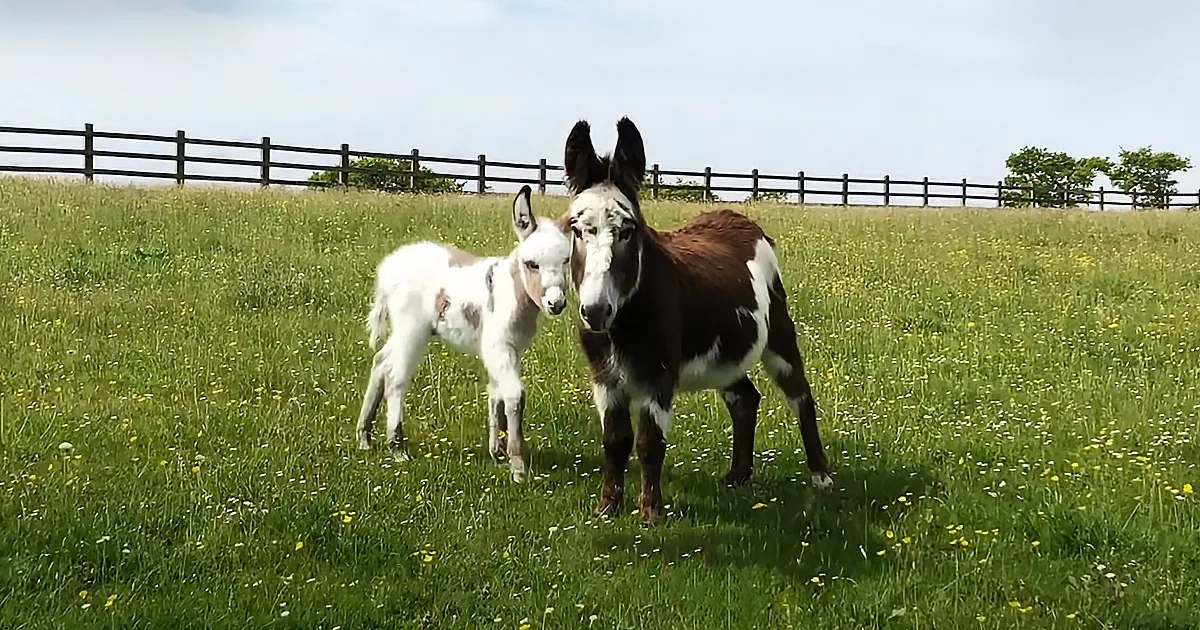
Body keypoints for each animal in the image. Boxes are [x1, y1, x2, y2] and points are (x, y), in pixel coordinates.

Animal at [355, 185, 573, 483]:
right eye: (531, 264)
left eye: (566, 261)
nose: (556, 304)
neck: (511, 291)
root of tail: (387, 268)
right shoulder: (498, 347)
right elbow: (515, 395)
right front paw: (518, 466)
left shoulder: (509, 349)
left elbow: (496, 393)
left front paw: (497, 451)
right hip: (412, 330)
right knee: (396, 378)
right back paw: (397, 447)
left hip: (402, 332)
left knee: (380, 362)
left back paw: (364, 437)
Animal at [557, 116, 833, 524]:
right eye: (576, 230)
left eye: (628, 230)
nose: (595, 312)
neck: (623, 323)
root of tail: (737, 218)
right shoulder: (604, 378)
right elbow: (615, 441)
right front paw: (607, 509)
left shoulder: (659, 377)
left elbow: (649, 444)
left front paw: (651, 515)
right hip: (727, 354)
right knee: (745, 400)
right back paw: (738, 476)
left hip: (779, 335)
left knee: (800, 397)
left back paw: (821, 477)